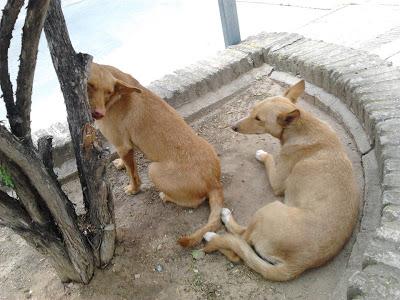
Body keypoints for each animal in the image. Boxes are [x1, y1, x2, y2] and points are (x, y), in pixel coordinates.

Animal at [86, 62, 223, 247]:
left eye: (108, 91)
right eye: (90, 86)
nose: (99, 113)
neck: (117, 97)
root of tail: (214, 182)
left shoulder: (123, 146)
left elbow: (133, 174)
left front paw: (133, 189)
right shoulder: (125, 147)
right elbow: (125, 164)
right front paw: (120, 164)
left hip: (153, 170)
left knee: (193, 202)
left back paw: (166, 196)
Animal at [203, 79, 360, 282]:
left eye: (258, 119)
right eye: (252, 111)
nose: (233, 127)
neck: (303, 127)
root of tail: (298, 265)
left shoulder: (277, 182)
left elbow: (270, 159)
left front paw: (262, 154)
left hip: (268, 210)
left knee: (242, 238)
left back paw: (216, 230)